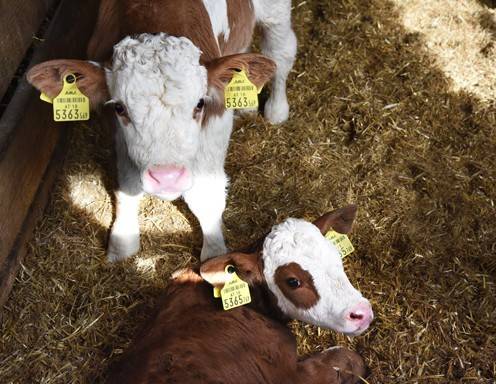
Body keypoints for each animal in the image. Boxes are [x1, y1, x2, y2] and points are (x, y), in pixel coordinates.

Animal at [25, 0, 296, 260]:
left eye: (200, 103)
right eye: (120, 108)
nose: (168, 178)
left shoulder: (216, 119)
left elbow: (205, 195)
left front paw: (214, 255)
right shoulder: (114, 129)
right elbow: (128, 184)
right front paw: (122, 245)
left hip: (276, 10)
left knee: (280, 50)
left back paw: (276, 110)